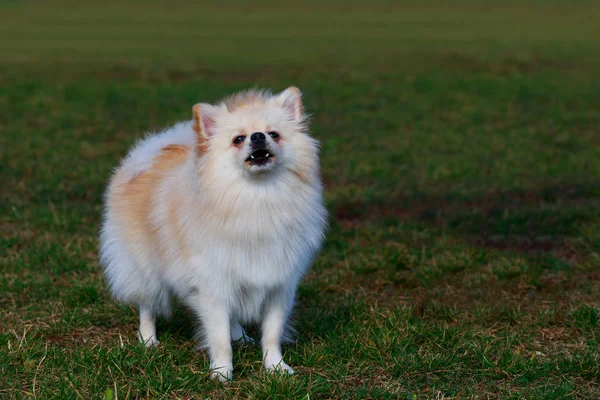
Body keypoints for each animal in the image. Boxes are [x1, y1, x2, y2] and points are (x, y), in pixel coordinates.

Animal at [98, 87, 326, 382]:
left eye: (274, 134)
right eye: (238, 139)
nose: (258, 136)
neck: (258, 197)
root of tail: (150, 152)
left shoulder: (278, 284)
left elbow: (272, 333)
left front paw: (275, 367)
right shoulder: (213, 286)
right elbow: (218, 337)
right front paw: (222, 372)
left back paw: (240, 336)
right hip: (144, 269)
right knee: (147, 304)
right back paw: (148, 340)